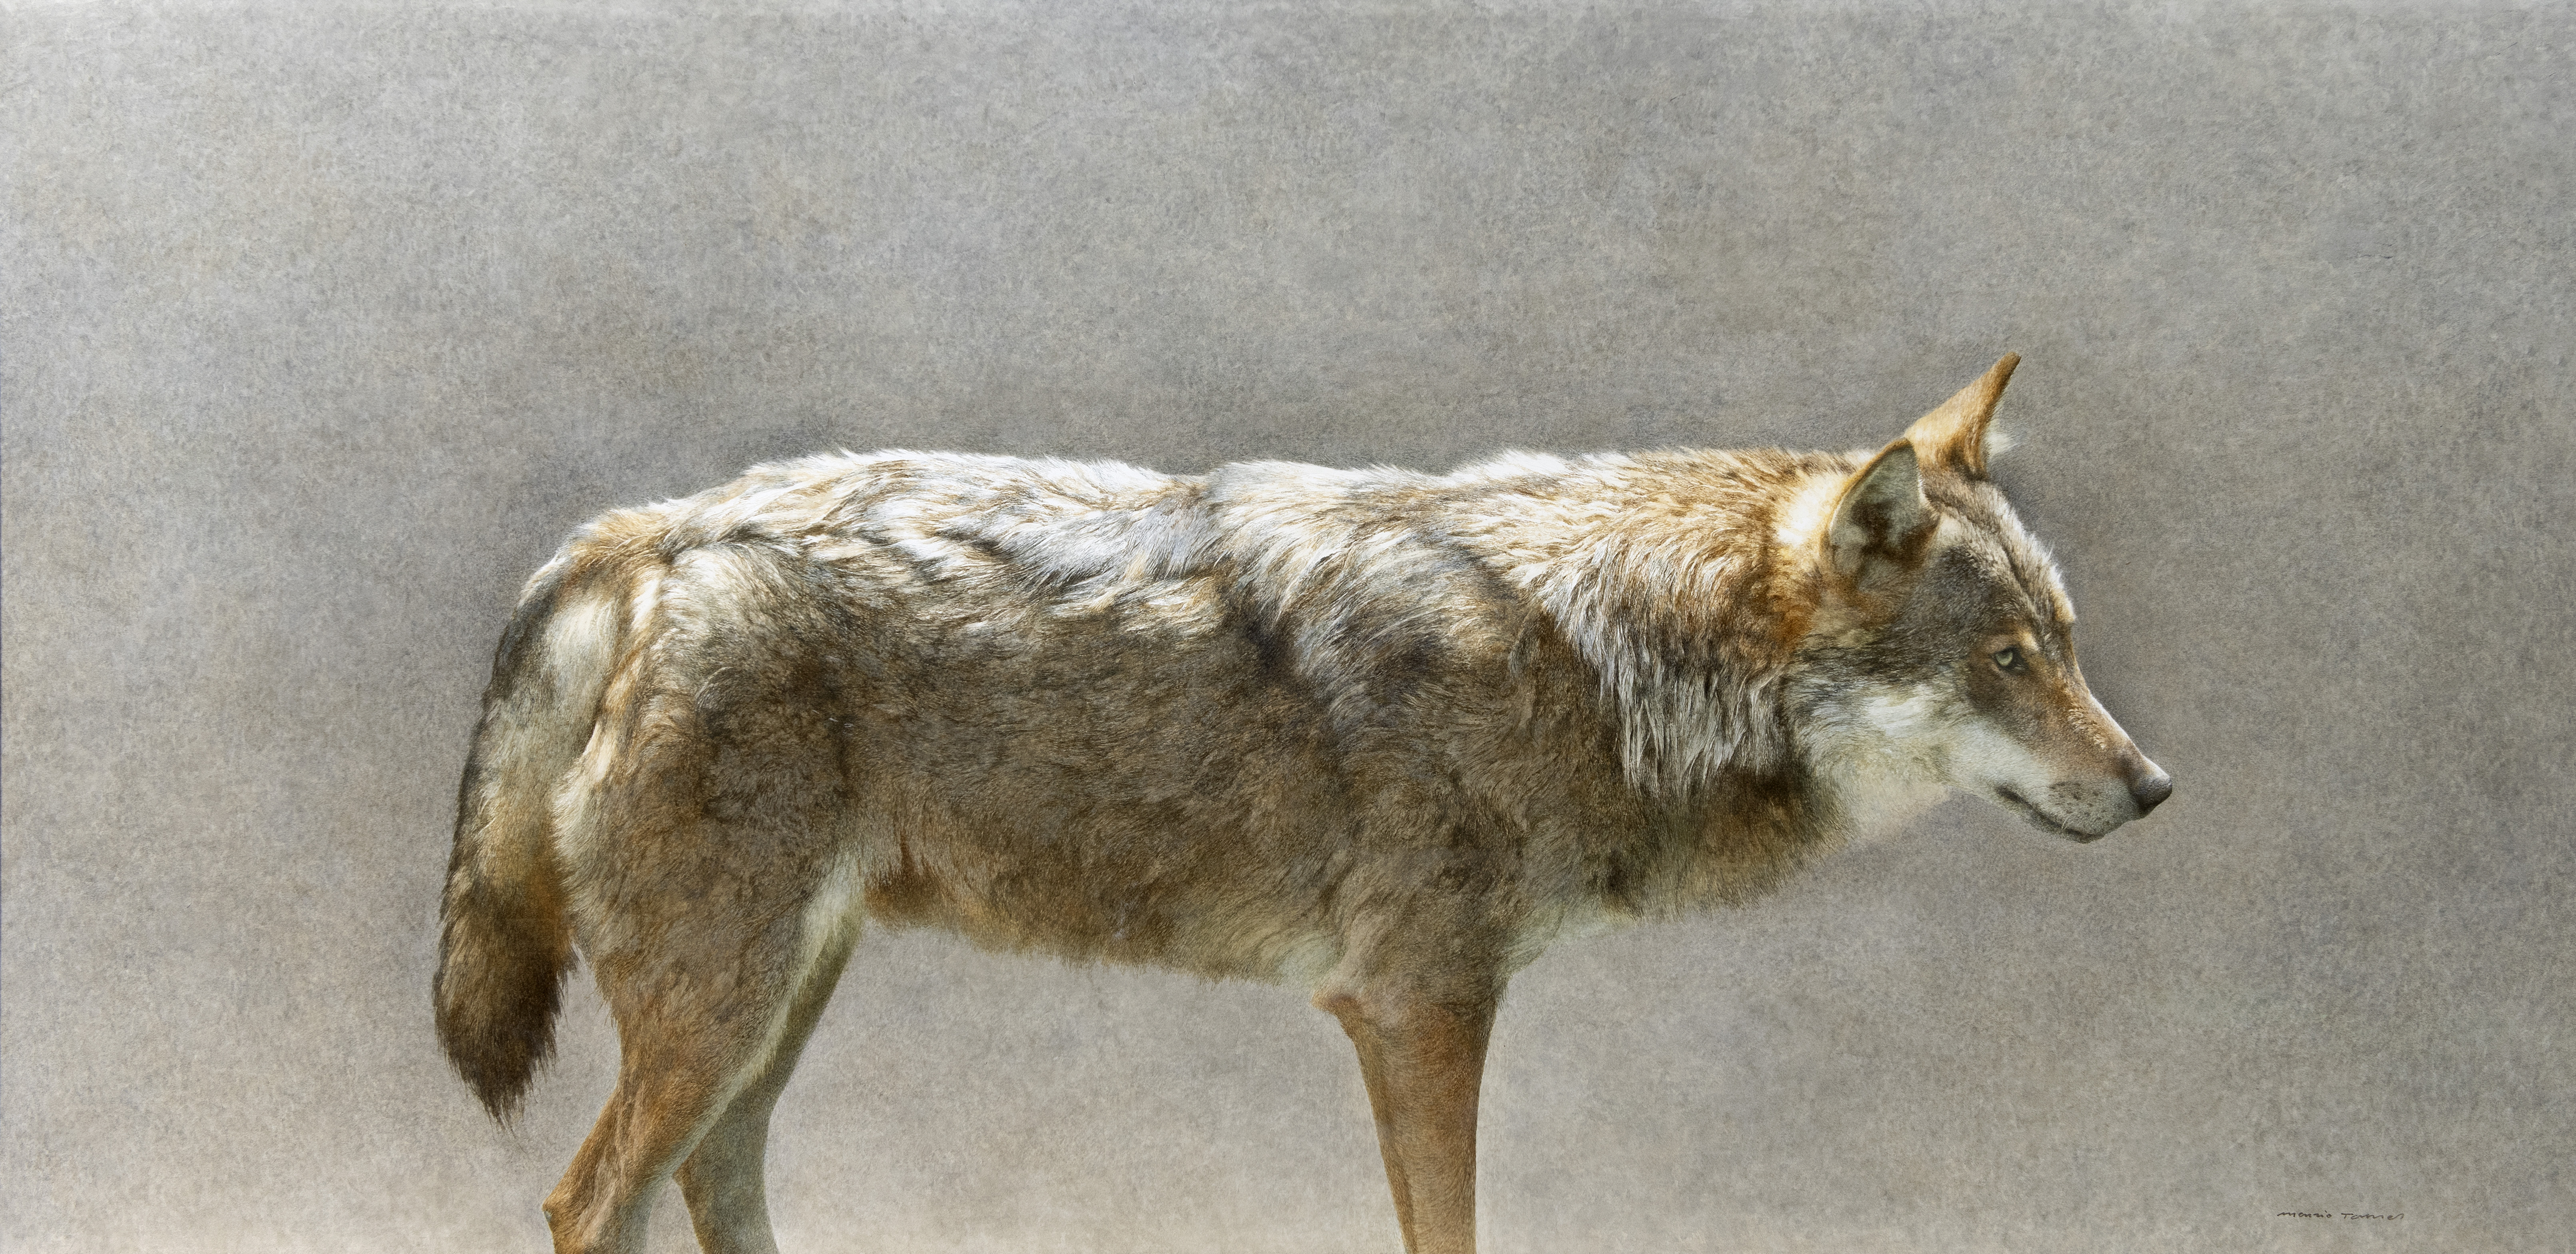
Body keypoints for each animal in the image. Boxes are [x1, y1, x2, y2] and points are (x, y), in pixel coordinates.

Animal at [435, 355, 2170, 1254]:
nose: (2155, 787)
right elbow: (1445, 1231)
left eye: (2069, 646)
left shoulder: (1421, 1014)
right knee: (588, 1197)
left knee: (704, 1180)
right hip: (724, 1007)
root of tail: (647, 532)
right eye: (2007, 659)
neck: (1592, 648)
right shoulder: (1416, 1010)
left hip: (772, 1005)